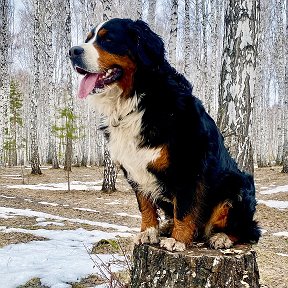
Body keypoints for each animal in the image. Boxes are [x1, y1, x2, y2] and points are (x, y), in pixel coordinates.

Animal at [70, 18, 260, 252]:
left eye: (108, 39)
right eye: (88, 39)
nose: (73, 51)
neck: (138, 101)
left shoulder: (189, 167)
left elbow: (184, 208)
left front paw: (178, 240)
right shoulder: (134, 168)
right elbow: (145, 205)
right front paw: (148, 232)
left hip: (237, 185)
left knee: (248, 230)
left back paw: (221, 237)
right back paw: (167, 227)